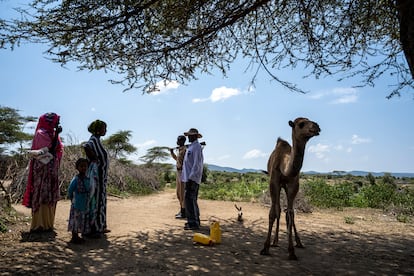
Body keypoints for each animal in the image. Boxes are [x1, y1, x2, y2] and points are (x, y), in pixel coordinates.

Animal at [260, 117, 322, 260]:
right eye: (301, 124)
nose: (316, 127)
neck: (285, 166)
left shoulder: (293, 184)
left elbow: (291, 214)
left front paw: (292, 251)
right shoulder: (274, 182)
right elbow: (273, 212)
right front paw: (265, 248)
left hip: (285, 186)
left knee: (286, 212)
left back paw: (298, 242)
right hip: (279, 185)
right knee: (278, 210)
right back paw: (275, 241)